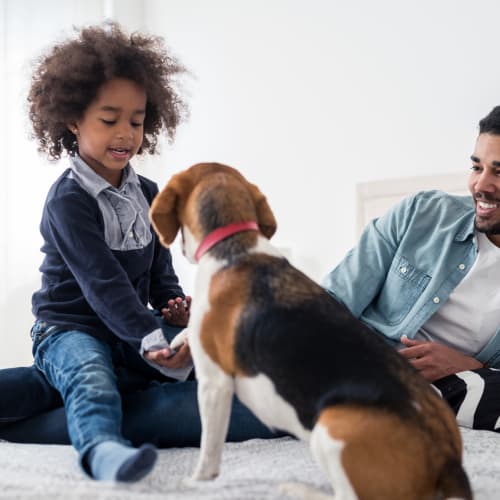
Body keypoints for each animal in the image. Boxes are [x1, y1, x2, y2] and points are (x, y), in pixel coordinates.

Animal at [149, 162, 472, 498]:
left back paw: (298, 488)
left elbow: (209, 448)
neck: (234, 243)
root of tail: (447, 458)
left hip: (330, 428)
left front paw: (196, 481)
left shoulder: (214, 383)